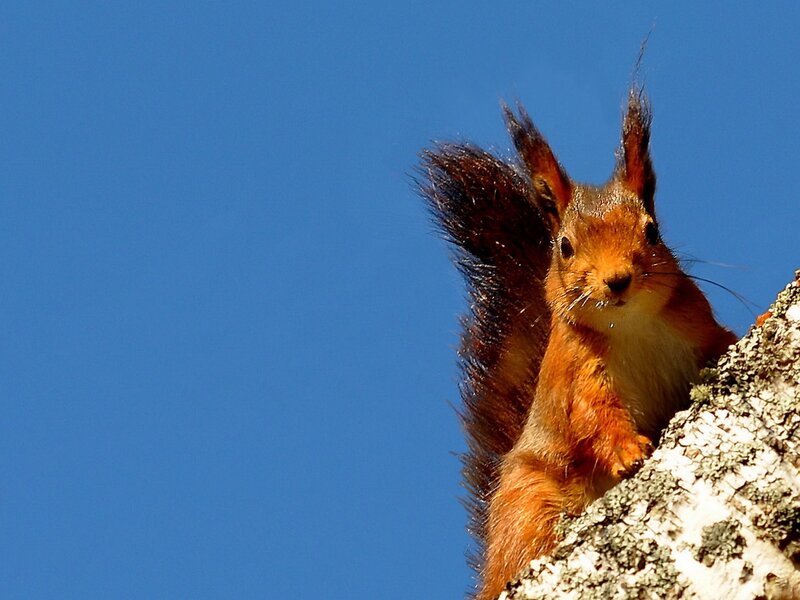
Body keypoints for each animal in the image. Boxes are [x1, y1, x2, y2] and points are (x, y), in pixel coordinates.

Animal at [418, 88, 737, 600]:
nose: (617, 280)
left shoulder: (699, 328)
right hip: (529, 505)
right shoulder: (577, 373)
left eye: (652, 231)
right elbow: (593, 419)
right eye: (564, 246)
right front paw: (626, 450)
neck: (631, 326)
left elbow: (725, 342)